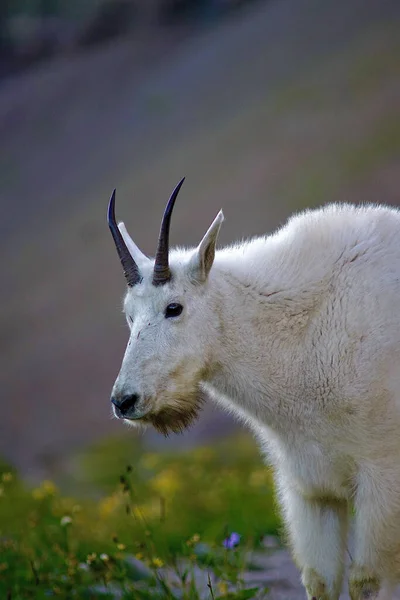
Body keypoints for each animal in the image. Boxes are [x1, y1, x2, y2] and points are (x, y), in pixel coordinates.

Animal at [108, 178, 400, 600]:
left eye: (174, 308)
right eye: (129, 315)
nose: (124, 400)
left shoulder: (382, 478)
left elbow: (367, 580)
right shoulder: (310, 489)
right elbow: (321, 580)